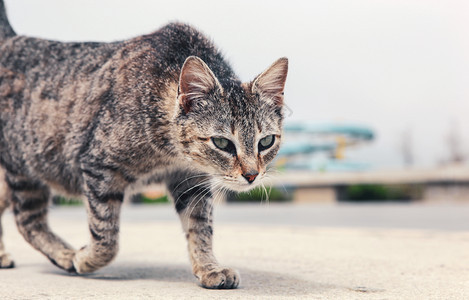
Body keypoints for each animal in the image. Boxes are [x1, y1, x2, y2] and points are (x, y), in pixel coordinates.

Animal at [0, 1, 286, 290]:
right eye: (222, 143)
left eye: (266, 141)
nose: (252, 175)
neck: (170, 153)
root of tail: (11, 39)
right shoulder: (99, 167)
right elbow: (106, 238)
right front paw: (84, 259)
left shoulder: (191, 181)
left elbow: (200, 228)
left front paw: (209, 267)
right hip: (23, 169)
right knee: (27, 221)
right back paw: (65, 255)